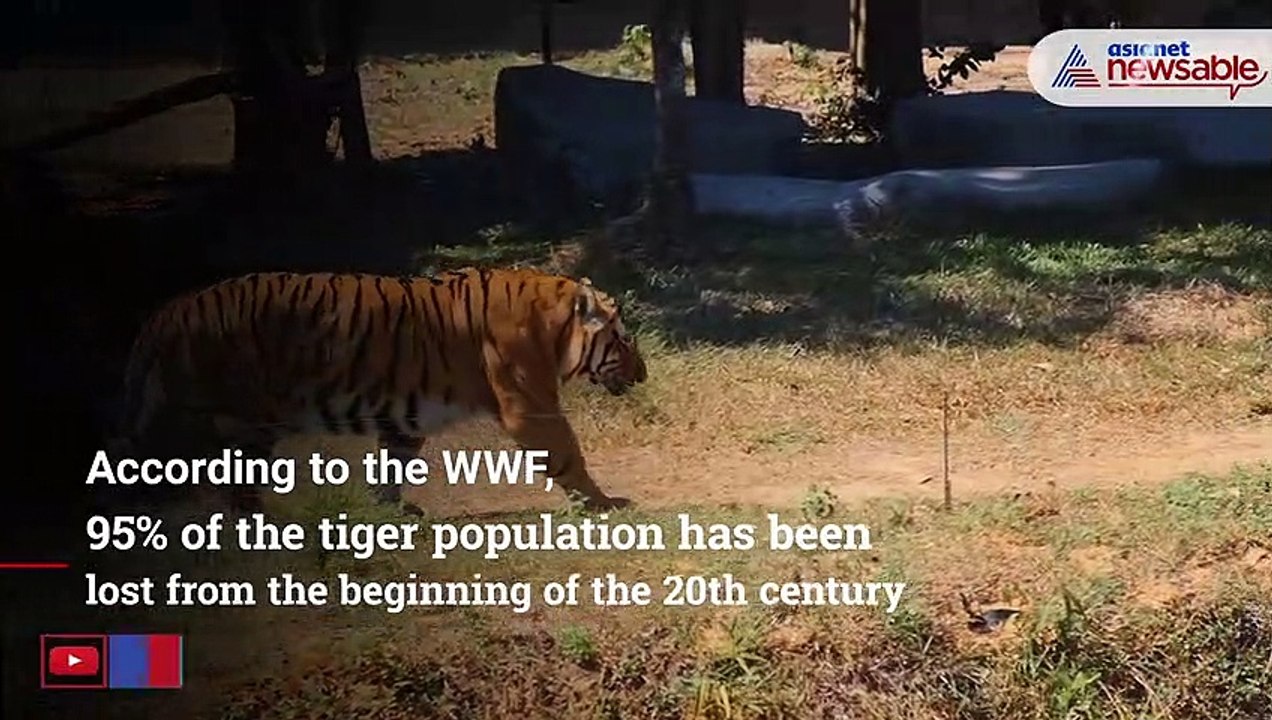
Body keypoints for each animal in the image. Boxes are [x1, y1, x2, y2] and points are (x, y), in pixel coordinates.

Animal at [108, 266, 647, 514]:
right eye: (622, 339)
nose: (643, 375)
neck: (554, 326)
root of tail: (169, 310)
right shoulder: (530, 406)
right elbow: (567, 453)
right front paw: (604, 503)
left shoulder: (407, 417)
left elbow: (393, 460)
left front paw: (390, 510)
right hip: (232, 418)